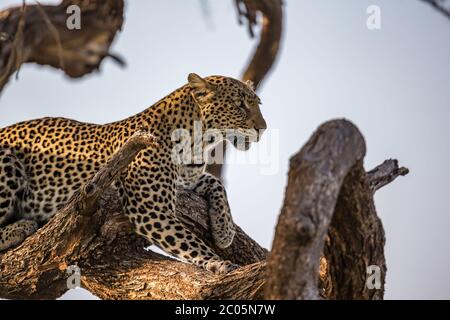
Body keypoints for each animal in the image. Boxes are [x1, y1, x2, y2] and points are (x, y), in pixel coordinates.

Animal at [0, 74, 268, 274]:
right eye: (239, 105)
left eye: (257, 103)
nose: (263, 128)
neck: (198, 144)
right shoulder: (150, 209)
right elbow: (189, 241)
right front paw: (219, 262)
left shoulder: (186, 181)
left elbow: (215, 182)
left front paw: (224, 231)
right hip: (7, 161)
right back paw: (20, 227)